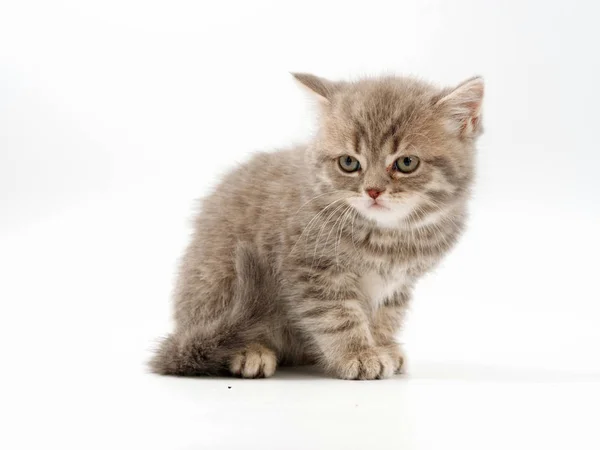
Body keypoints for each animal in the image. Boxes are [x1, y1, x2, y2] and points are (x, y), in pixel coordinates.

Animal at [150, 73, 482, 380]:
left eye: (407, 163)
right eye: (349, 163)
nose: (373, 191)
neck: (388, 235)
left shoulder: (398, 283)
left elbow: (386, 316)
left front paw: (381, 345)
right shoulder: (311, 270)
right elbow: (338, 315)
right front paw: (358, 354)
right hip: (217, 276)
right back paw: (249, 351)